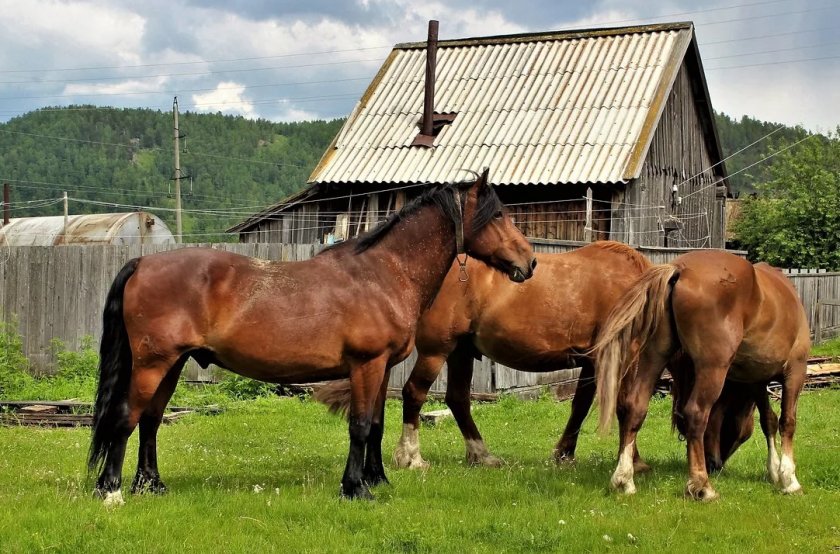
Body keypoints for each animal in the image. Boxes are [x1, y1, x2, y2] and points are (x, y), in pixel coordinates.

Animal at [83, 170, 532, 502]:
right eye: (497, 215)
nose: (529, 262)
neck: (383, 273)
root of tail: (142, 263)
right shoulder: (366, 365)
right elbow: (360, 425)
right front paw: (355, 489)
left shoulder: (383, 368)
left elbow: (377, 424)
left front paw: (377, 480)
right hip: (152, 364)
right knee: (127, 417)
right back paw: (112, 492)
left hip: (172, 365)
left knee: (151, 420)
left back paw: (151, 486)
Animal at [390, 240, 652, 466]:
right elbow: (625, 406)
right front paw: (634, 461)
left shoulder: (591, 362)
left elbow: (580, 405)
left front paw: (564, 454)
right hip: (436, 352)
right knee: (414, 393)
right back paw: (410, 457)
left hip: (460, 351)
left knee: (458, 399)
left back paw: (482, 455)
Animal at [592, 250, 812, 500]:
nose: (715, 464)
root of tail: (679, 269)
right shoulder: (795, 371)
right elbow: (787, 421)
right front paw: (788, 478)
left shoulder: (755, 380)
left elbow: (769, 420)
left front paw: (774, 471)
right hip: (712, 369)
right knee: (696, 413)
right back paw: (702, 485)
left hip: (654, 357)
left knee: (635, 408)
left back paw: (624, 479)